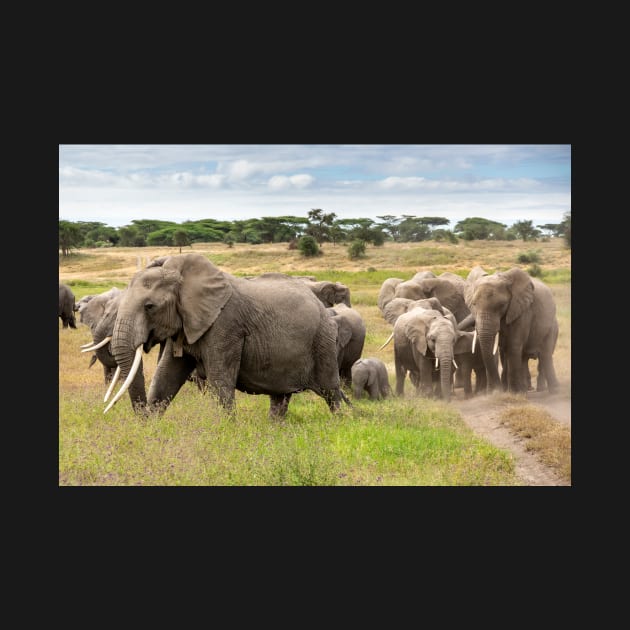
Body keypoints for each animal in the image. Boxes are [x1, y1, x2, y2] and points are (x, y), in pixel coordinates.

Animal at [106, 252, 348, 420]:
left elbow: (220, 381)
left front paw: (225, 431)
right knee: (280, 396)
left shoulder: (225, 325)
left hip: (323, 339)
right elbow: (166, 377)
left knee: (330, 391)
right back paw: (275, 428)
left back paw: (340, 423)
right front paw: (151, 427)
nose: (143, 416)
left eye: (149, 307)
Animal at [464, 268, 564, 396]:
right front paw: (501, 392)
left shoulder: (522, 311)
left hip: (550, 326)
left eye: (502, 305)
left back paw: (553, 391)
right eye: (474, 304)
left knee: (545, 354)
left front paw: (515, 394)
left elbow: (513, 346)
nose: (495, 390)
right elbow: (502, 349)